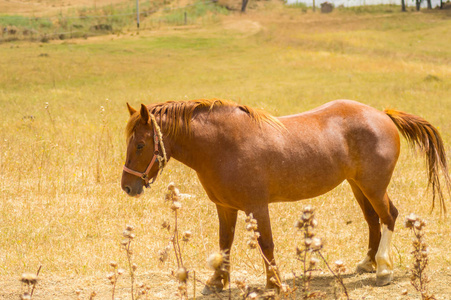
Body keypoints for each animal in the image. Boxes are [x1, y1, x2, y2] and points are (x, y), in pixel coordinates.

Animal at [122, 99, 450, 292]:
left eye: (140, 145)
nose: (127, 186)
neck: (222, 145)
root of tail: (382, 115)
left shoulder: (256, 206)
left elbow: (266, 244)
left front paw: (275, 283)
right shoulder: (225, 207)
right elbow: (225, 243)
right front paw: (218, 281)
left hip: (373, 187)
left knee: (389, 216)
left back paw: (382, 269)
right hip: (358, 186)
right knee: (373, 220)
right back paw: (367, 263)